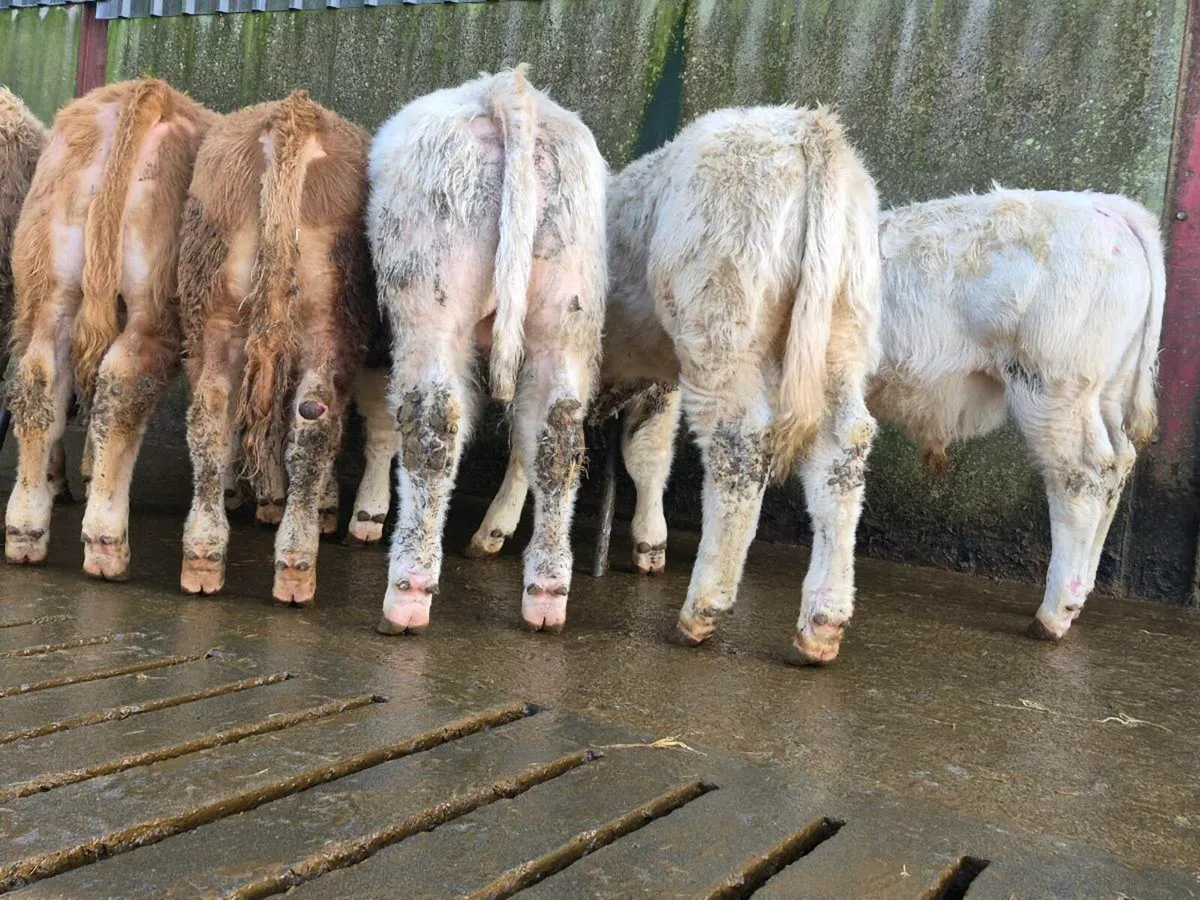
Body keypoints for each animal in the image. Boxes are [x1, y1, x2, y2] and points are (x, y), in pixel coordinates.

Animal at [5, 79, 215, 578]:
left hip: (50, 288)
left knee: (39, 383)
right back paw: (106, 541)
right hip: (152, 307)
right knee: (121, 388)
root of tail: (147, 91)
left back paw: (26, 528)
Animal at [177, 90, 373, 606]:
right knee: (313, 424)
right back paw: (296, 566)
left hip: (215, 315)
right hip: (330, 322)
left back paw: (203, 556)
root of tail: (293, 115)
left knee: (211, 416)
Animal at [367, 65, 607, 636]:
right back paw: (546, 597)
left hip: (429, 297)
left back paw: (407, 597)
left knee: (434, 423)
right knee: (557, 437)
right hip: (566, 312)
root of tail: (505, 89)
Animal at [471, 104, 883, 663]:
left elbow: (525, 444)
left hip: (720, 335)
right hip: (842, 338)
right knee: (842, 454)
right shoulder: (657, 380)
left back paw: (702, 610)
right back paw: (823, 623)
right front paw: (650, 542)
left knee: (739, 451)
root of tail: (805, 128)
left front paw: (495, 525)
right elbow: (647, 455)